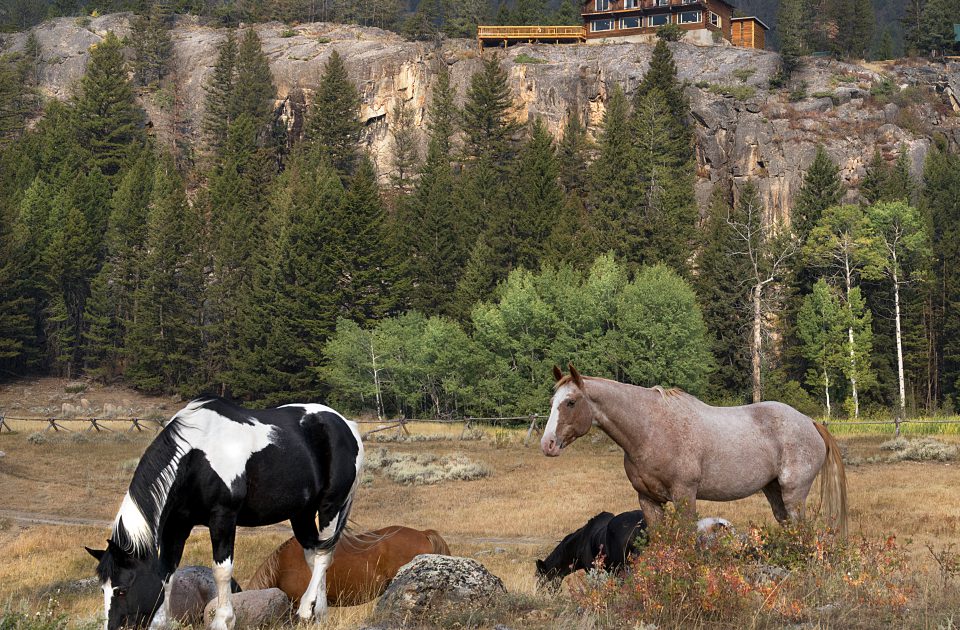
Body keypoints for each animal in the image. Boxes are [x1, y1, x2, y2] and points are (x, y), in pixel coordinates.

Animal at [85, 400, 364, 630]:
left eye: (121, 590)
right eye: (103, 588)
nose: (113, 628)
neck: (196, 458)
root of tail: (346, 425)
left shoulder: (223, 517)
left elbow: (222, 570)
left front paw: (223, 620)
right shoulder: (177, 525)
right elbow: (166, 572)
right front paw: (162, 622)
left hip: (330, 506)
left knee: (324, 556)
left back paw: (306, 610)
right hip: (301, 512)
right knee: (313, 555)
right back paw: (320, 613)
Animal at [540, 366, 848, 540]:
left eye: (570, 402)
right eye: (552, 401)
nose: (548, 444)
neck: (651, 430)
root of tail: (810, 422)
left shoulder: (684, 496)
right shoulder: (648, 500)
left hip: (794, 494)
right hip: (773, 491)